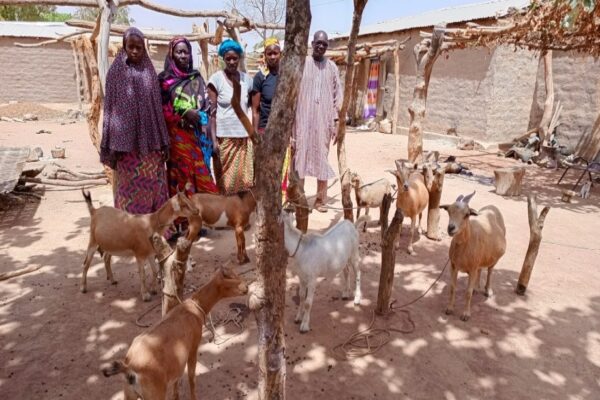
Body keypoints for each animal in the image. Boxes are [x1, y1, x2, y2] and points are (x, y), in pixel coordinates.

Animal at [102, 266, 247, 400]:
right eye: (231, 277)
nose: (246, 287)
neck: (193, 309)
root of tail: (130, 368)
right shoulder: (193, 347)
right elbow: (191, 378)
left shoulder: (177, 363)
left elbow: (177, 379)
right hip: (155, 393)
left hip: (129, 393)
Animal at [440, 191, 506, 322]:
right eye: (449, 211)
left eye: (467, 215)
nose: (451, 228)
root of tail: (492, 206)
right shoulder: (453, 265)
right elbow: (452, 288)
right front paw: (449, 308)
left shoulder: (472, 268)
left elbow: (468, 293)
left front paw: (466, 314)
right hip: (480, 258)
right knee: (481, 269)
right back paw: (477, 287)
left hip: (494, 258)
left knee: (490, 271)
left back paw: (488, 290)